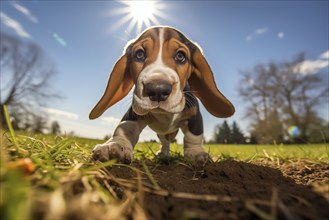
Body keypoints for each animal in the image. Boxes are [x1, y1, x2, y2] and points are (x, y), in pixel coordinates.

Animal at [88, 26, 234, 163]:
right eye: (139, 54)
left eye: (180, 56)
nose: (157, 89)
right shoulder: (134, 112)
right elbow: (124, 128)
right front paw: (116, 146)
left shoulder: (194, 114)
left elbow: (194, 135)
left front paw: (196, 153)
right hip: (162, 133)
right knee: (165, 142)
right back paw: (163, 154)